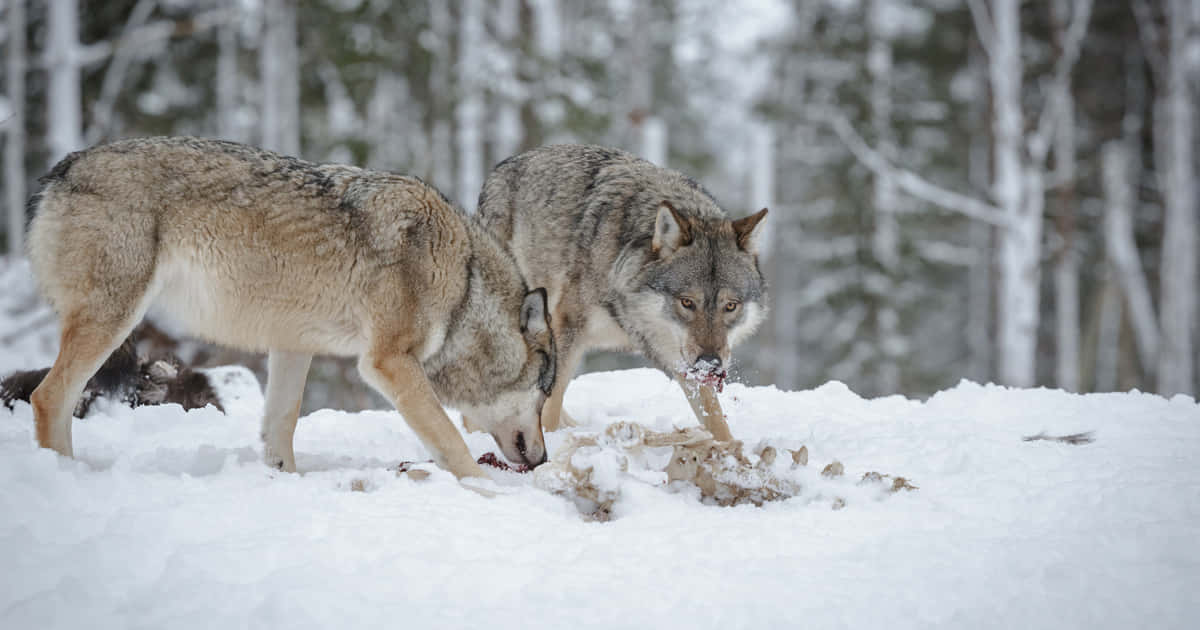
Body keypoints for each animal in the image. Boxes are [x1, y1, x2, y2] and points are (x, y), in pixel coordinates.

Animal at [23, 137, 556, 477]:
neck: (464, 281)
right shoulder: (389, 363)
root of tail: (64, 167)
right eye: (545, 392)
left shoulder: (293, 346)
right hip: (114, 320)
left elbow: (281, 428)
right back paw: (65, 476)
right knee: (48, 397)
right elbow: (451, 442)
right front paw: (491, 496)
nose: (546, 459)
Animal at [477, 142, 768, 439]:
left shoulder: (683, 359)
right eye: (687, 302)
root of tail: (505, 165)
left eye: (730, 306)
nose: (710, 363)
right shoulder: (567, 328)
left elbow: (716, 421)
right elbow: (550, 404)